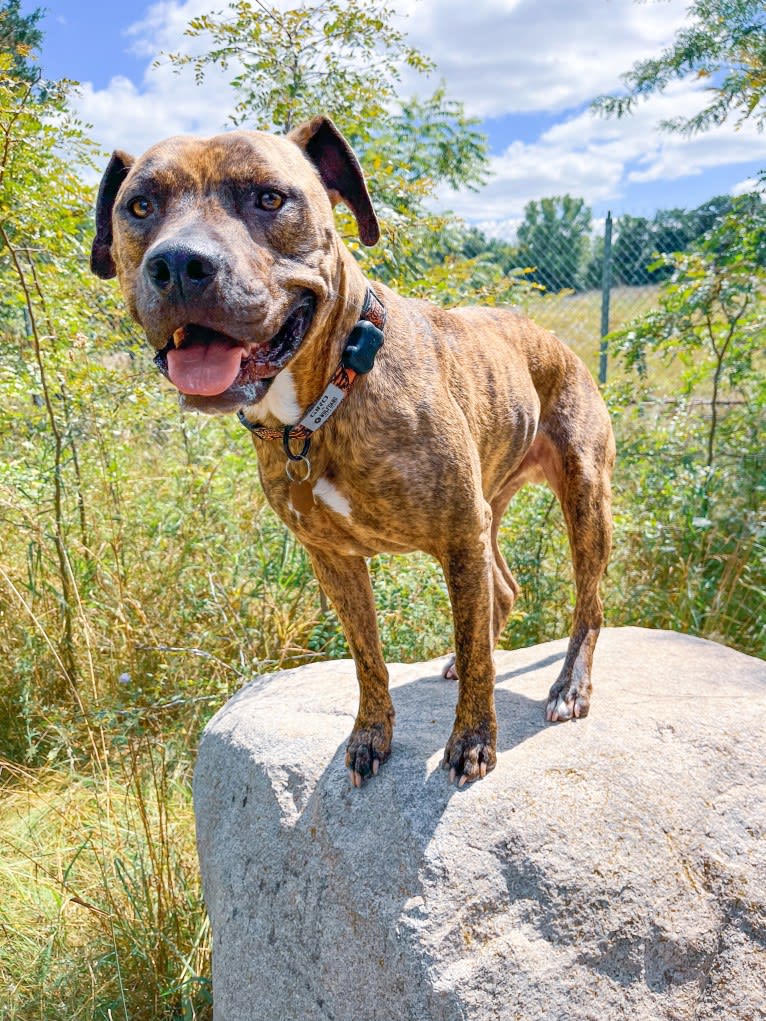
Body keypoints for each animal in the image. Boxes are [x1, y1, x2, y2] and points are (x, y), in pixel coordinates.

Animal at [89, 117, 616, 788]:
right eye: (139, 207)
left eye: (269, 197)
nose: (180, 263)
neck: (324, 400)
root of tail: (557, 342)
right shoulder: (336, 559)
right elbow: (368, 656)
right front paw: (370, 735)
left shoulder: (457, 535)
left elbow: (478, 659)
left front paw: (473, 740)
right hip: (488, 511)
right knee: (502, 592)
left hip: (583, 496)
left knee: (589, 602)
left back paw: (571, 686)